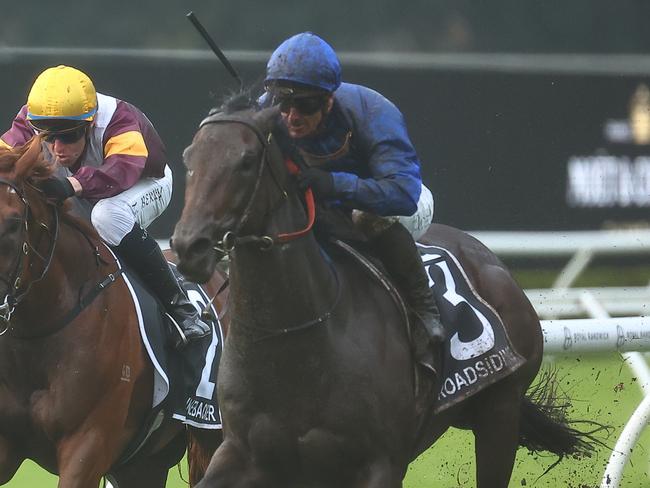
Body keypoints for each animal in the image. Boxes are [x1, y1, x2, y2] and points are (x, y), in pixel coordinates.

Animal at [172, 95, 596, 488]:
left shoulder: (378, 464)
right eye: (189, 158)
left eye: (246, 160)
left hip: (500, 412)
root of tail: (493, 263)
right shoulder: (245, 455)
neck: (297, 339)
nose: (189, 245)